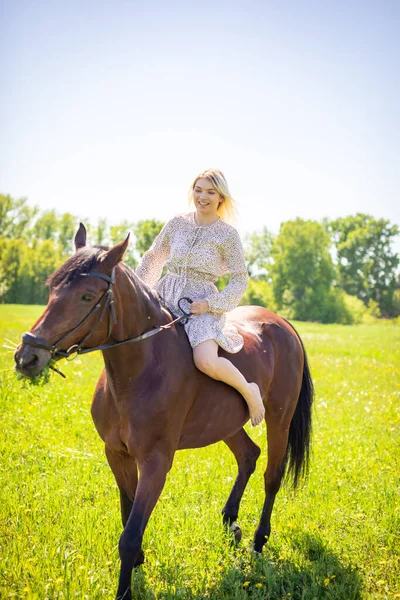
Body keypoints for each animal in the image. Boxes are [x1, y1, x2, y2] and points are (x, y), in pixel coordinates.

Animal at [14, 224, 314, 600]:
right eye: (52, 288)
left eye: (86, 296)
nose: (27, 356)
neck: (138, 371)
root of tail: (281, 324)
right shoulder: (116, 454)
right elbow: (128, 516)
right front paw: (139, 562)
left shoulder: (155, 463)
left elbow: (129, 536)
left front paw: (127, 586)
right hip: (227, 424)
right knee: (248, 454)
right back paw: (230, 523)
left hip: (279, 419)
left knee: (272, 475)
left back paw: (259, 541)